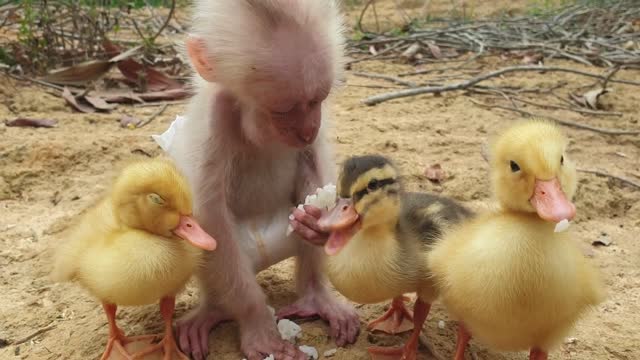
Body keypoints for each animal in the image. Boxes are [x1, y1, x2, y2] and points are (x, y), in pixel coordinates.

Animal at [166, 0, 360, 360]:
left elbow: (313, 168)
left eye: (317, 100)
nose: (307, 129)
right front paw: (257, 322)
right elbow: (209, 219)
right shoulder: (216, 116)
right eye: (282, 110)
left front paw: (317, 222)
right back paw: (215, 310)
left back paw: (317, 297)